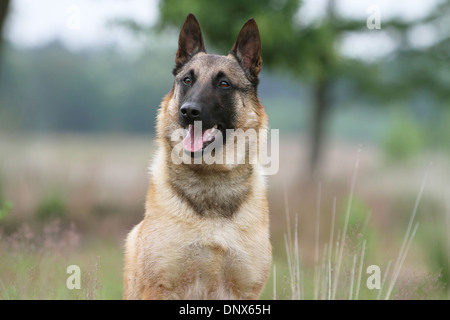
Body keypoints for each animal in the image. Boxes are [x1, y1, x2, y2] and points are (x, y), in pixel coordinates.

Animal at [122, 13, 270, 300]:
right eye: (187, 80)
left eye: (223, 84)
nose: (188, 111)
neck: (211, 180)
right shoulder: (159, 288)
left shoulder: (245, 292)